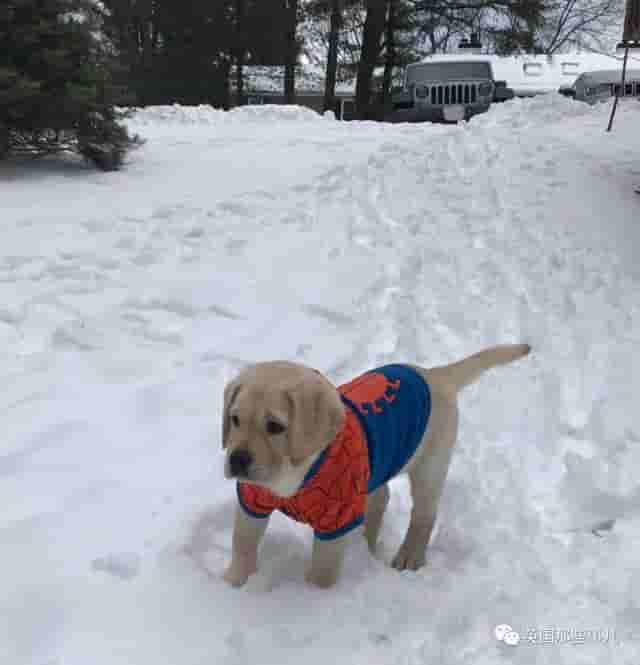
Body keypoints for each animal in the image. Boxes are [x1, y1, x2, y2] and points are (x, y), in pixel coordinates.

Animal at [222, 342, 532, 588]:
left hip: (430, 465)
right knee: (381, 497)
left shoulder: (337, 519)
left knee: (424, 514)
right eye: (235, 419)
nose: (236, 459)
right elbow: (243, 545)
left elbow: (323, 573)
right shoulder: (252, 501)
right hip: (376, 471)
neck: (293, 473)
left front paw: (312, 599)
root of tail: (434, 374)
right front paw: (234, 584)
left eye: (275, 426)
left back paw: (409, 556)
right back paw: (367, 546)